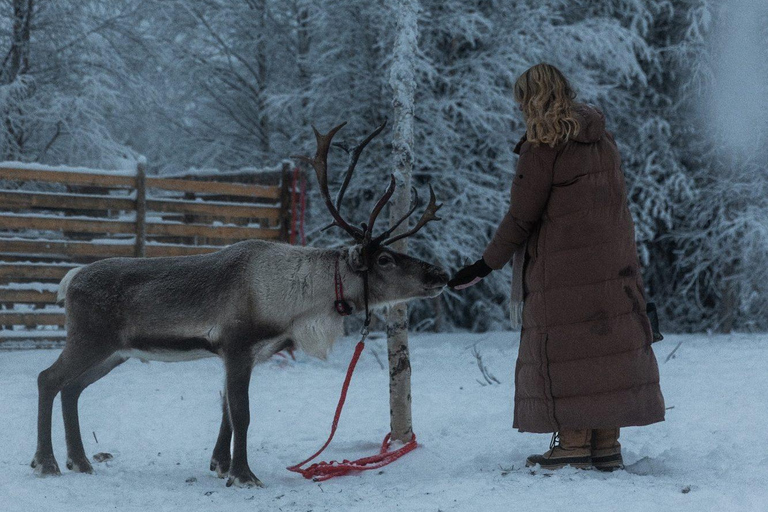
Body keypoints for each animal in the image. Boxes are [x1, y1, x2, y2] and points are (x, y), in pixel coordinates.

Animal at [31, 120, 448, 488]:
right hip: (90, 339)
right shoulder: (236, 346)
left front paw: (219, 465)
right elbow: (242, 414)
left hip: (116, 352)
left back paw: (80, 461)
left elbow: (227, 413)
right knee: (48, 378)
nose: (440, 274)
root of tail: (69, 280)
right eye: (385, 260)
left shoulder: (252, 353)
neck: (295, 304)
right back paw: (47, 463)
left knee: (72, 388)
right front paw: (244, 475)